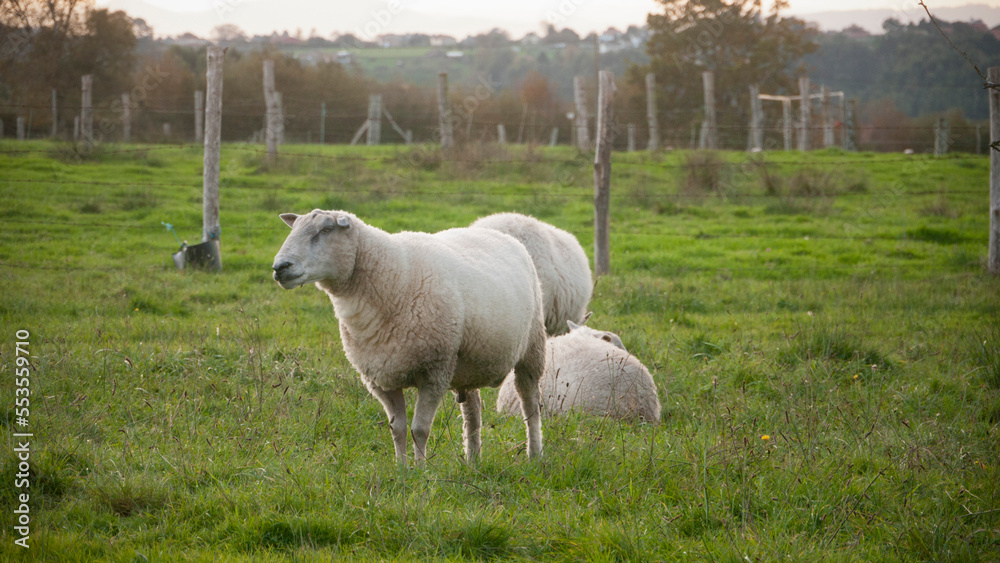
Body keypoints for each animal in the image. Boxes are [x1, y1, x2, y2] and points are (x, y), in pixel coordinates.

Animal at [272, 210, 547, 465]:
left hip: (532, 348)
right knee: (473, 413)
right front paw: (401, 469)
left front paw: (421, 470)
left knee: (530, 406)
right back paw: (472, 460)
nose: (279, 267)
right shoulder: (380, 378)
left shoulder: (434, 371)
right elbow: (398, 429)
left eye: (326, 230)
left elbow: (419, 430)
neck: (392, 279)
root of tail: (497, 232)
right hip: (468, 364)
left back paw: (534, 455)